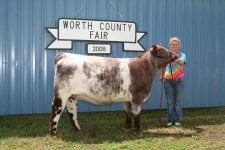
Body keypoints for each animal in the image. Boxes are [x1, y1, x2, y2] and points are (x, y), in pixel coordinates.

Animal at [48, 44, 178, 135]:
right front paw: (138, 130)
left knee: (72, 112)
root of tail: (65, 55)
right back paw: (53, 133)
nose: (176, 54)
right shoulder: (137, 96)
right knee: (56, 109)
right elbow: (136, 113)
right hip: (61, 93)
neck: (145, 68)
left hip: (72, 96)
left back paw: (78, 129)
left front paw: (128, 127)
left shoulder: (128, 98)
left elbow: (128, 112)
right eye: (161, 50)